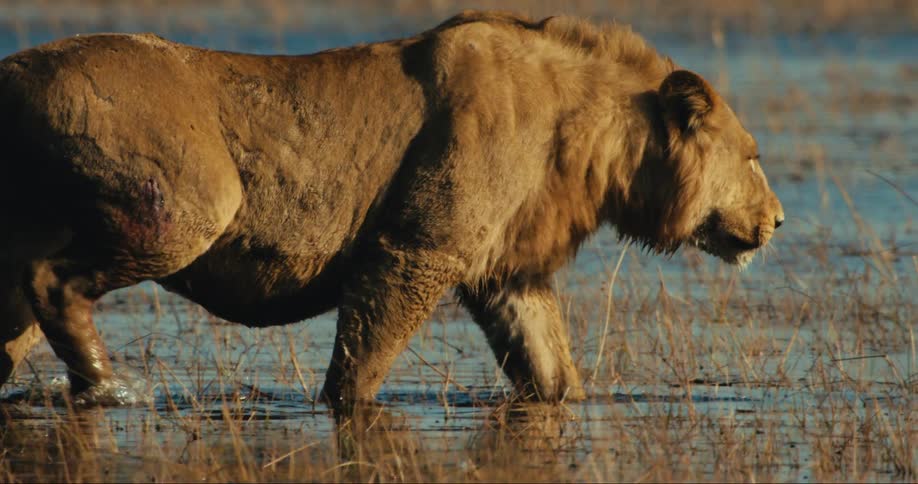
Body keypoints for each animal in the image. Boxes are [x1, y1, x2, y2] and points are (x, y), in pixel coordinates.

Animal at [0, 11, 783, 405]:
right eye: (752, 156)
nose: (776, 220)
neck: (595, 143)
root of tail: (12, 70)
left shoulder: (509, 272)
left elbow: (552, 371)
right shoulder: (416, 247)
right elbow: (360, 367)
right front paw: (347, 412)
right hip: (194, 202)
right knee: (53, 283)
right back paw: (105, 387)